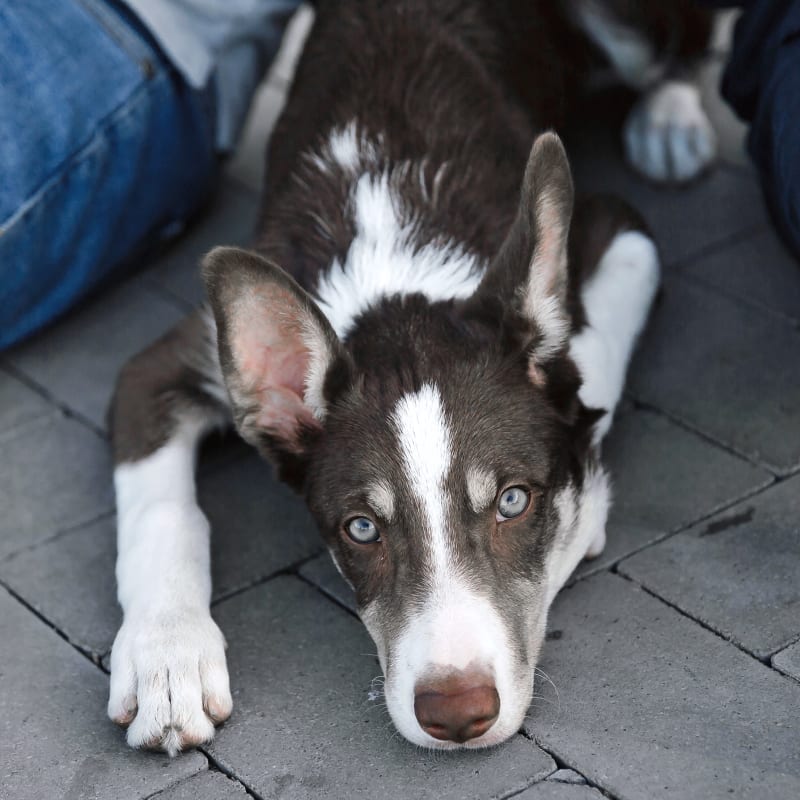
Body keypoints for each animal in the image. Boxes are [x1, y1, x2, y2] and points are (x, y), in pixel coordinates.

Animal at [104, 0, 712, 756]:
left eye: (514, 501)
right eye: (362, 529)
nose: (457, 714)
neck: (393, 250)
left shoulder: (621, 230)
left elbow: (585, 364)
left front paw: (584, 503)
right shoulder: (164, 365)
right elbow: (161, 512)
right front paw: (167, 659)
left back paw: (671, 119)